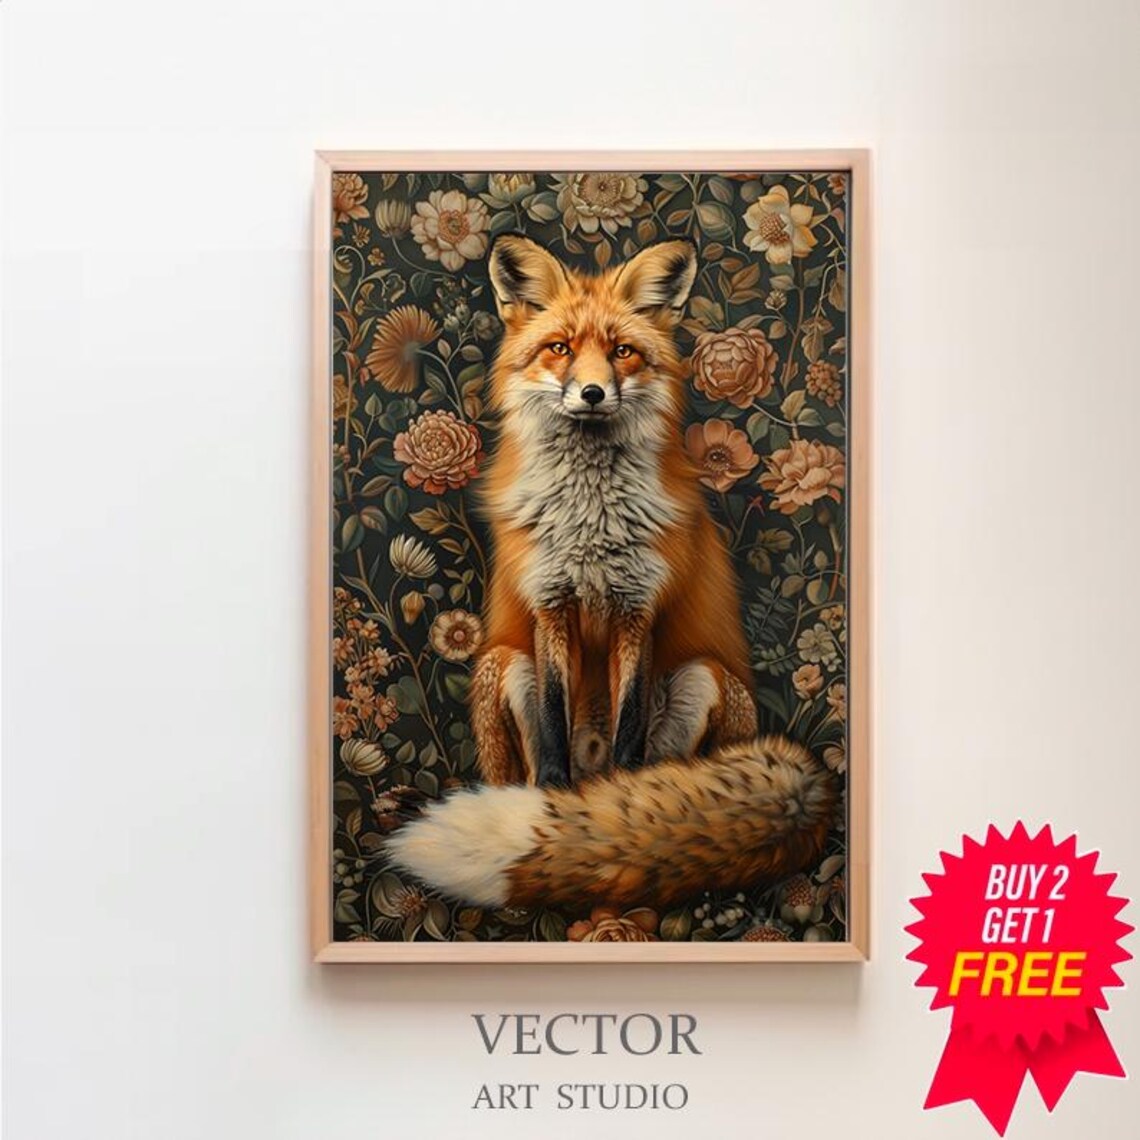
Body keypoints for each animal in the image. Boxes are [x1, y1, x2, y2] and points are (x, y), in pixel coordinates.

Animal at [387, 233, 838, 912]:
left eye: (623, 352)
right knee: (518, 766)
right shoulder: (549, 605)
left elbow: (630, 728)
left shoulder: (637, 610)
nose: (594, 394)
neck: (589, 522)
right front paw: (555, 798)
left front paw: (612, 809)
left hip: (705, 679)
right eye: (560, 349)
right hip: (500, 664)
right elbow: (552, 720)